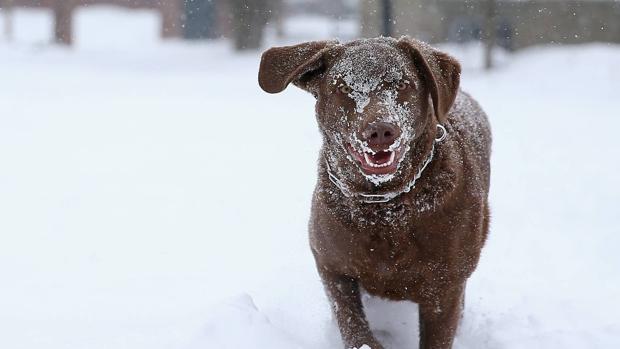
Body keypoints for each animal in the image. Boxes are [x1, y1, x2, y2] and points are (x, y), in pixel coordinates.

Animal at [256, 37, 490, 348]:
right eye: (343, 88)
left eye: (402, 84)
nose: (380, 130)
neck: (385, 207)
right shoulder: (331, 264)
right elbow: (351, 320)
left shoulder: (446, 286)